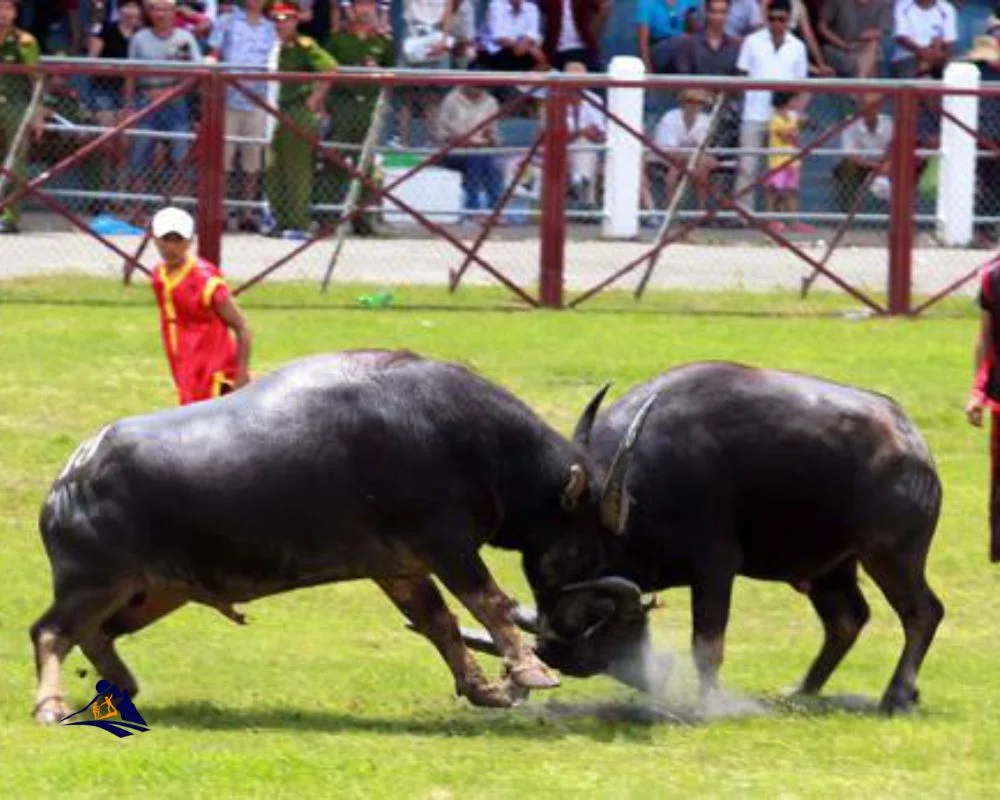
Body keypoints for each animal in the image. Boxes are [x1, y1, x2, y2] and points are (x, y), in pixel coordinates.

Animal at [29, 354, 648, 720]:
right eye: (586, 545)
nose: (571, 629)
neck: (476, 444)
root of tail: (68, 480)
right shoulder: (447, 547)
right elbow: (488, 601)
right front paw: (530, 672)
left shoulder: (400, 567)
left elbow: (440, 624)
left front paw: (487, 689)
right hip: (96, 584)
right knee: (51, 632)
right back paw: (51, 704)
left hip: (151, 593)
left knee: (95, 633)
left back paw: (123, 685)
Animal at [520, 362, 948, 712]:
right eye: (541, 570)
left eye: (581, 559)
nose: (553, 651)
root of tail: (915, 447)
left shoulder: (715, 566)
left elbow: (707, 644)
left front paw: (708, 704)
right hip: (832, 567)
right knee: (847, 619)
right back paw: (801, 689)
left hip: (890, 554)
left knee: (923, 612)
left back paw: (896, 694)